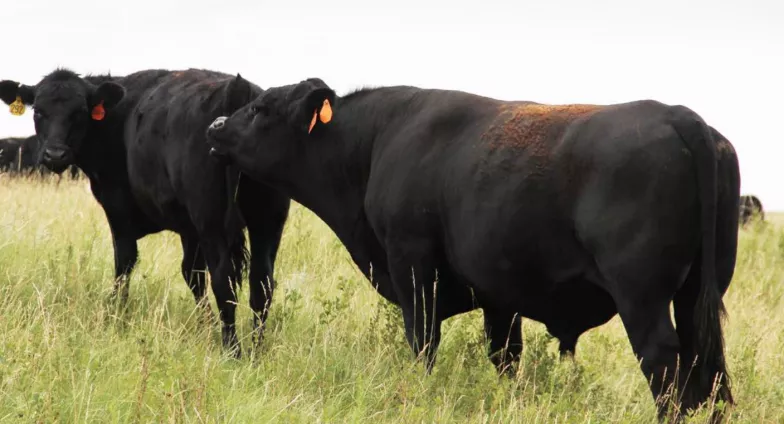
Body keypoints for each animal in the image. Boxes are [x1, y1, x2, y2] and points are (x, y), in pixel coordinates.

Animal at [1, 68, 290, 354]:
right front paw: (204, 324)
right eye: (38, 111)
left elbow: (125, 264)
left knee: (224, 279)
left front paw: (116, 316)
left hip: (213, 220)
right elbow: (192, 274)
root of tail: (237, 89)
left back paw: (233, 350)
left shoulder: (118, 210)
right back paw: (257, 349)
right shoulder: (189, 228)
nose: (55, 154)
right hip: (268, 220)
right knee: (262, 282)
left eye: (80, 112)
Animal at [205, 79, 740, 420]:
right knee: (708, 370)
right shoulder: (500, 294)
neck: (377, 143)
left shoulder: (412, 264)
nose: (215, 128)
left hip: (642, 299)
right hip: (698, 295)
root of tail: (679, 116)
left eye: (262, 108)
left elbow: (423, 341)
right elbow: (505, 356)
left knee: (665, 365)